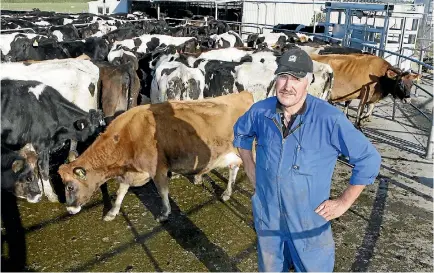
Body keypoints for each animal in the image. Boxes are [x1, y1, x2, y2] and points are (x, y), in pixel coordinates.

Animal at [57, 91, 254, 221]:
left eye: (70, 187)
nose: (70, 209)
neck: (128, 135)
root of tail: (245, 94)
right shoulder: (130, 172)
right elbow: (121, 192)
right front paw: (112, 212)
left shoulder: (158, 168)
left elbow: (162, 191)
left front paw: (164, 213)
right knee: (233, 168)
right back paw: (227, 193)